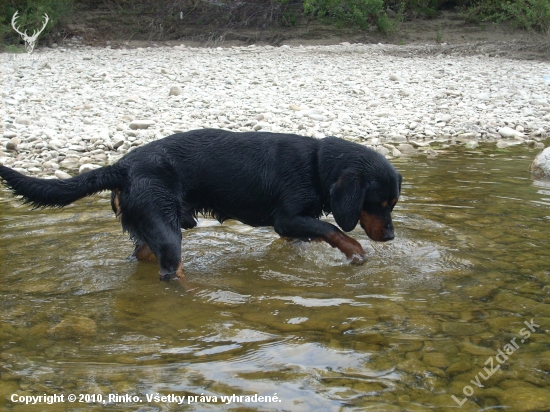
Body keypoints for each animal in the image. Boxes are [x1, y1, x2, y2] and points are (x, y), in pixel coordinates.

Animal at [1, 129, 406, 280]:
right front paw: (355, 252)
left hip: (155, 225)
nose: (389, 237)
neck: (317, 166)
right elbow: (334, 229)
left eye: (393, 203)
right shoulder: (287, 218)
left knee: (142, 253)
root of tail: (123, 166)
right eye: (378, 203)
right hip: (167, 231)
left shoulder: (294, 226)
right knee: (169, 272)